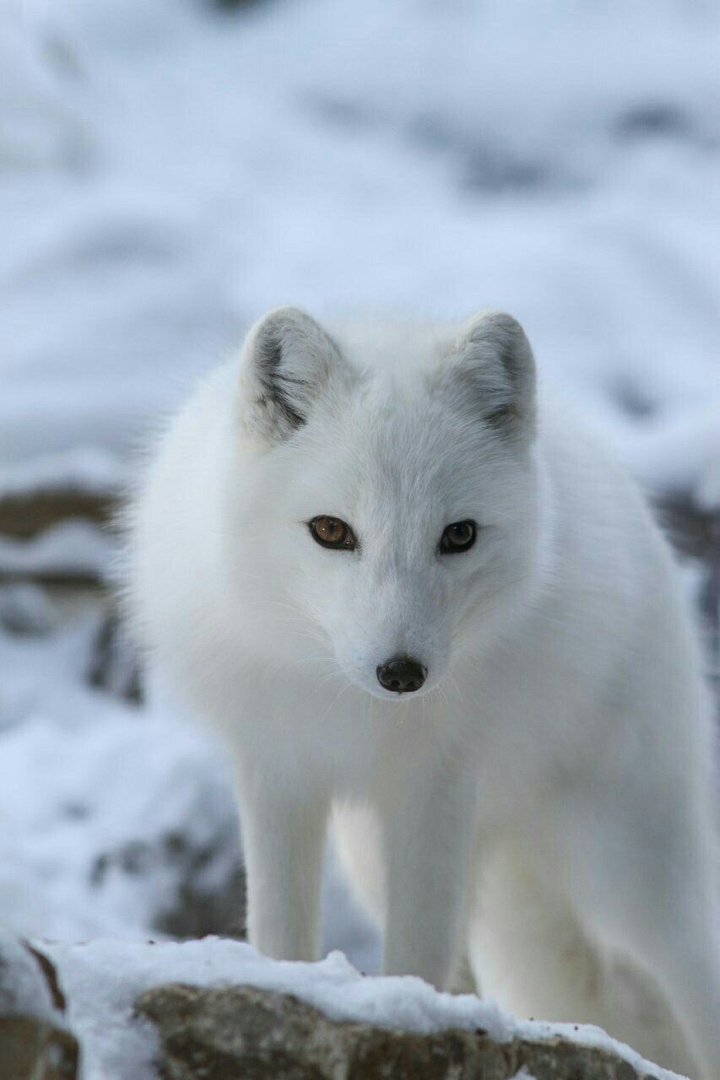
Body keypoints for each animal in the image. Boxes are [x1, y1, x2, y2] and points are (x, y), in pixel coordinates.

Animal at [127, 307, 719, 1078]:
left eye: (459, 535)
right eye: (331, 531)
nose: (401, 673)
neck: (350, 707)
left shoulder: (438, 784)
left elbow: (418, 951)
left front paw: (407, 1018)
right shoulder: (278, 768)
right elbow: (280, 928)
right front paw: (286, 994)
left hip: (627, 876)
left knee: (693, 981)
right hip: (391, 867)